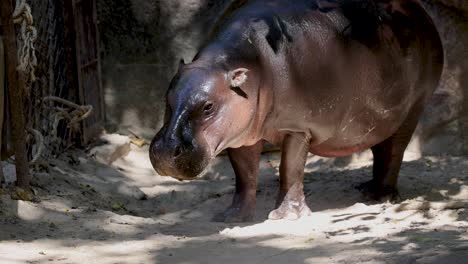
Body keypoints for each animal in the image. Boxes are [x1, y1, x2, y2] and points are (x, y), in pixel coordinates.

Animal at [149, 0, 442, 223]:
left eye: (208, 107)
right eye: (167, 97)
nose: (164, 151)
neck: (246, 64)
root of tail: (418, 11)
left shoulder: (298, 127)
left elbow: (289, 169)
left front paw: (286, 216)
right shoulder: (241, 134)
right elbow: (244, 174)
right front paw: (232, 217)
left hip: (413, 109)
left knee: (395, 151)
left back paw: (381, 197)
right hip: (381, 118)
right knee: (381, 149)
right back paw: (366, 190)